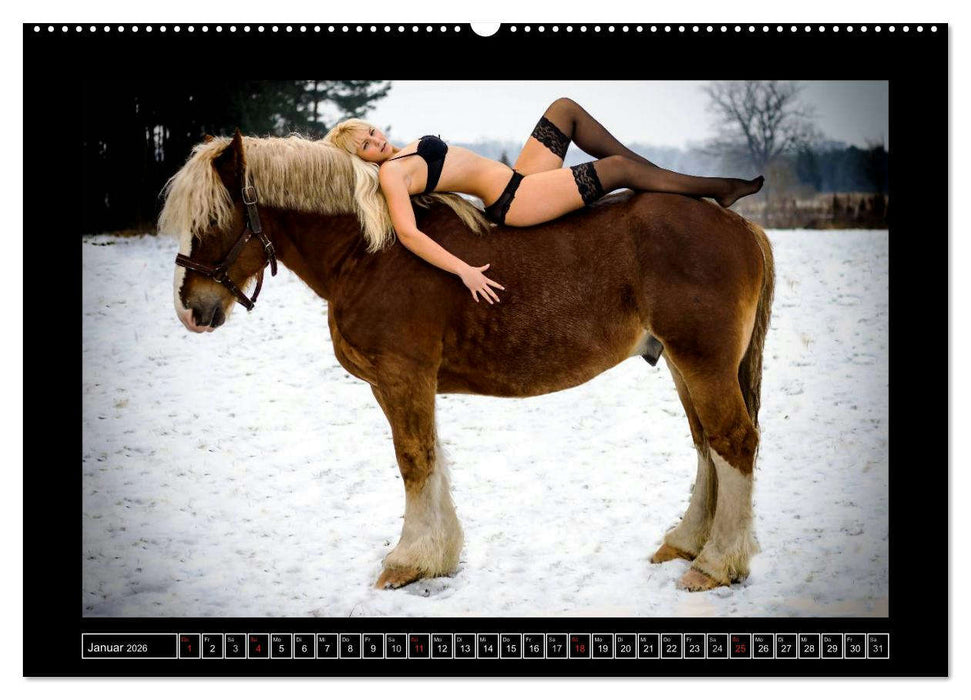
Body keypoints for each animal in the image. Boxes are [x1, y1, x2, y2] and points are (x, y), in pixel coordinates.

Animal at [160, 130, 775, 592]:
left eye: (211, 219)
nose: (191, 309)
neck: (368, 250)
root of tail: (741, 225)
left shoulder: (403, 376)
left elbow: (414, 459)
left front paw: (408, 561)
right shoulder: (396, 383)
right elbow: (429, 458)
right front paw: (436, 557)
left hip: (702, 361)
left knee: (733, 441)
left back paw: (714, 565)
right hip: (680, 363)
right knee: (707, 445)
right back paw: (686, 544)